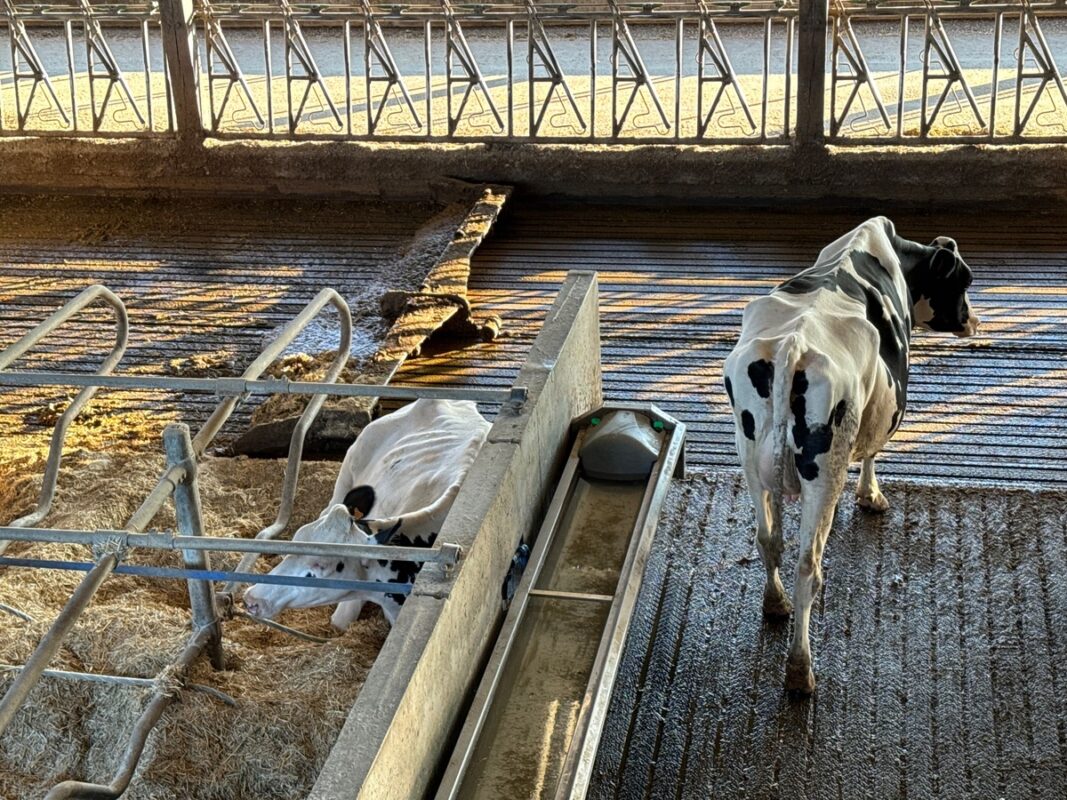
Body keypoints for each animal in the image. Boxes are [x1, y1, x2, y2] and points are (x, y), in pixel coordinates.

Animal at [722, 217, 978, 695]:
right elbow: (875, 446)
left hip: (749, 456)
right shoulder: (887, 402)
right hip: (823, 469)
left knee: (769, 540)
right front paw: (870, 496)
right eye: (963, 280)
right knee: (808, 567)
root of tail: (791, 346)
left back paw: (775, 603)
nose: (972, 321)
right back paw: (801, 670)